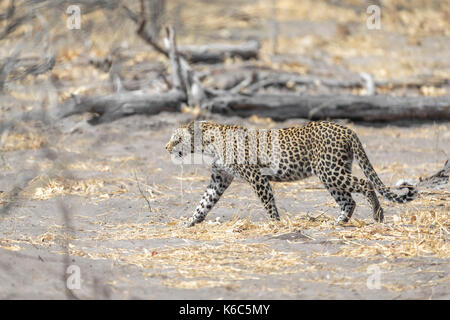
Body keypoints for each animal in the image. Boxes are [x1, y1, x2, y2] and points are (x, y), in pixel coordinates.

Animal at [166, 120, 418, 228]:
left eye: (176, 138)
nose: (166, 147)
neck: (208, 145)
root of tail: (348, 129)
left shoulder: (257, 177)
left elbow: (268, 201)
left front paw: (275, 224)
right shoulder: (219, 178)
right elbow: (204, 202)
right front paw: (190, 222)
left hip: (330, 170)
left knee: (365, 184)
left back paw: (378, 216)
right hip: (332, 173)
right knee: (349, 200)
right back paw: (338, 222)